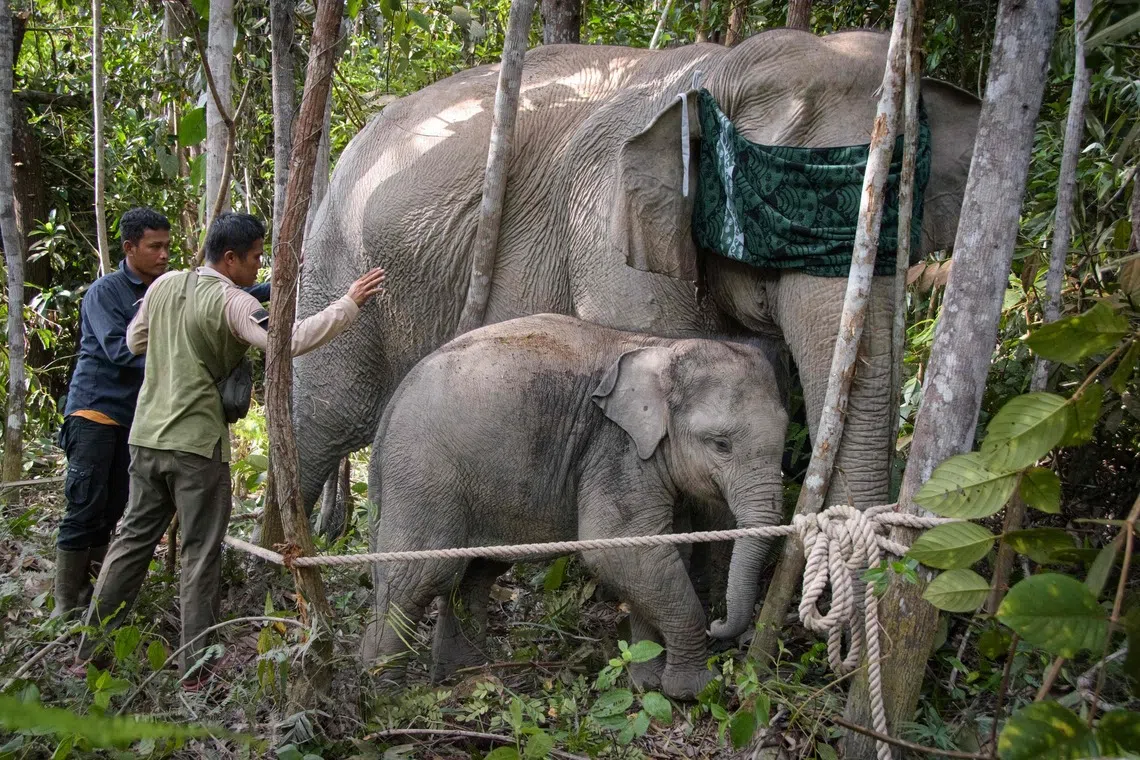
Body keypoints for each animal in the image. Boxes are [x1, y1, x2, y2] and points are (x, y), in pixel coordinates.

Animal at [364, 314, 789, 700]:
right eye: (721, 444)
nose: (720, 625)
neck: (661, 348)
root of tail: (390, 410)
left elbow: (661, 554)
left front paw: (647, 681)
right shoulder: (615, 451)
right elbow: (622, 550)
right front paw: (695, 691)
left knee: (475, 574)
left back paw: (464, 679)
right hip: (423, 474)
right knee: (419, 577)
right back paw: (384, 696)